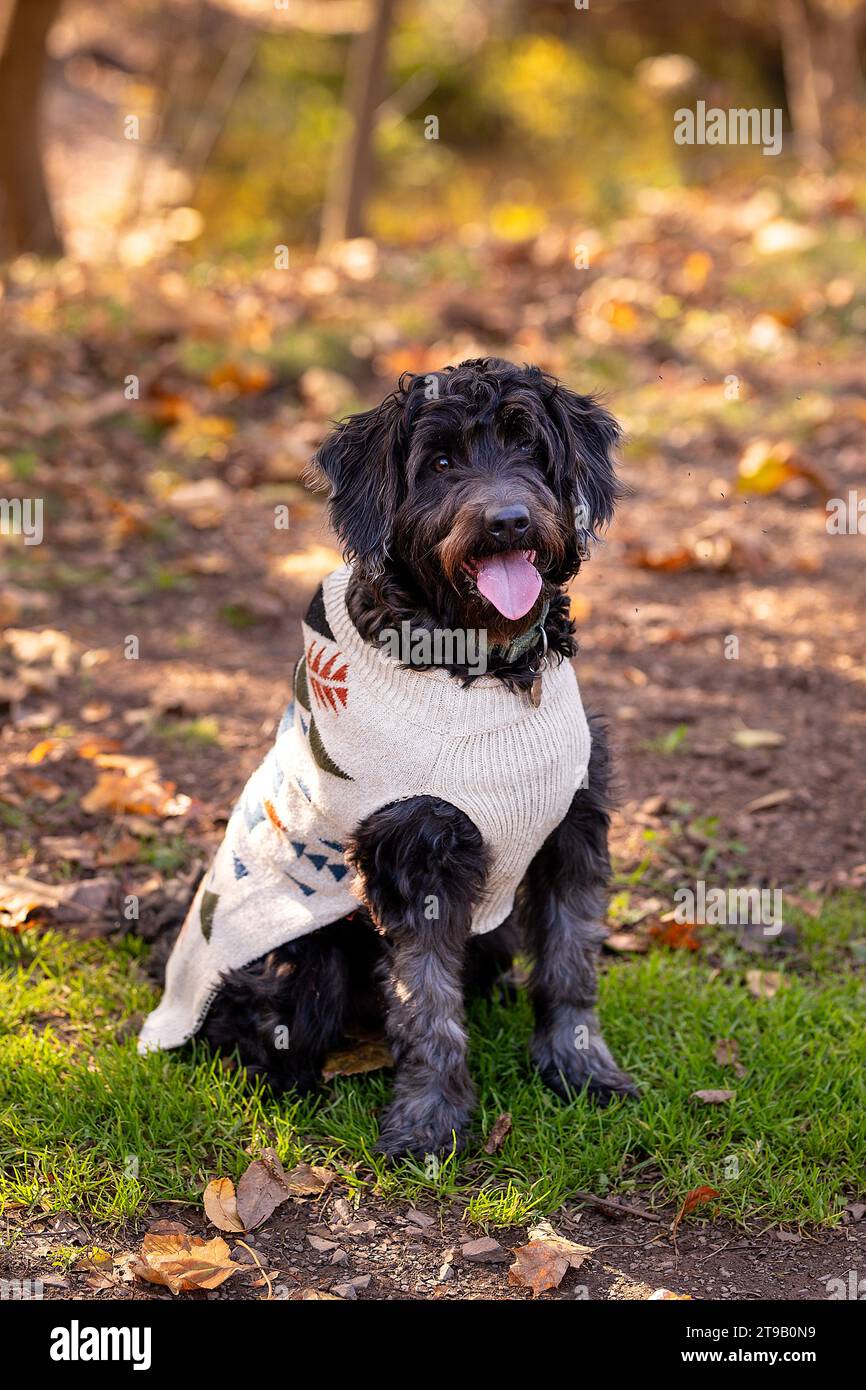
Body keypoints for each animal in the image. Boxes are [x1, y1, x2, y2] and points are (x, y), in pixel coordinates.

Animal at [193, 355, 633, 1150]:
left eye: (529, 446)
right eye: (440, 462)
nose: (508, 521)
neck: (486, 671)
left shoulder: (572, 830)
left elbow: (569, 965)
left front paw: (578, 1069)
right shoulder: (414, 854)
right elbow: (425, 1004)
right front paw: (430, 1120)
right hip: (305, 962)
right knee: (256, 1033)